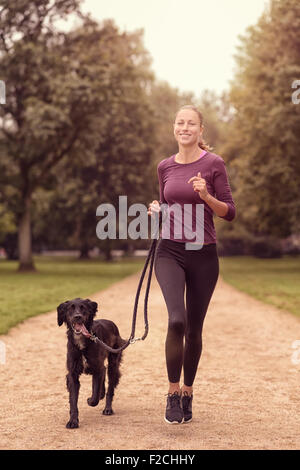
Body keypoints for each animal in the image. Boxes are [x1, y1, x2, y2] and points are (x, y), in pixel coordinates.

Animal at [56, 300, 125, 428]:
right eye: (70, 309)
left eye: (83, 308)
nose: (77, 316)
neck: (82, 342)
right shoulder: (72, 374)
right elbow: (73, 401)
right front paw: (73, 421)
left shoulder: (97, 368)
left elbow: (95, 397)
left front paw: (90, 400)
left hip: (113, 363)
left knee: (109, 388)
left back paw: (108, 409)